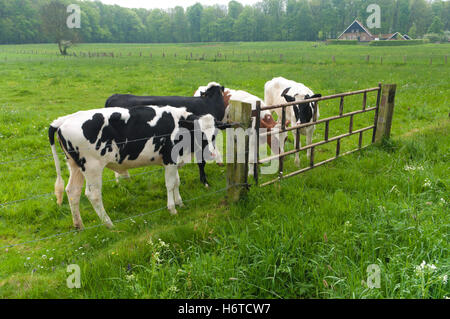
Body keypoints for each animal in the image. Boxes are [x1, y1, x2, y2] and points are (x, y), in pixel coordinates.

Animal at [48, 105, 229, 230]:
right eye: (200, 132)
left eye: (215, 134)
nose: (212, 154)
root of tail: (64, 119)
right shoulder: (170, 159)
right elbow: (170, 184)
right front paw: (172, 209)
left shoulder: (174, 161)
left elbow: (176, 182)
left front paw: (180, 203)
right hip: (92, 167)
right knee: (93, 195)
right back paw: (109, 224)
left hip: (75, 166)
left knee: (72, 192)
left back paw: (79, 225)